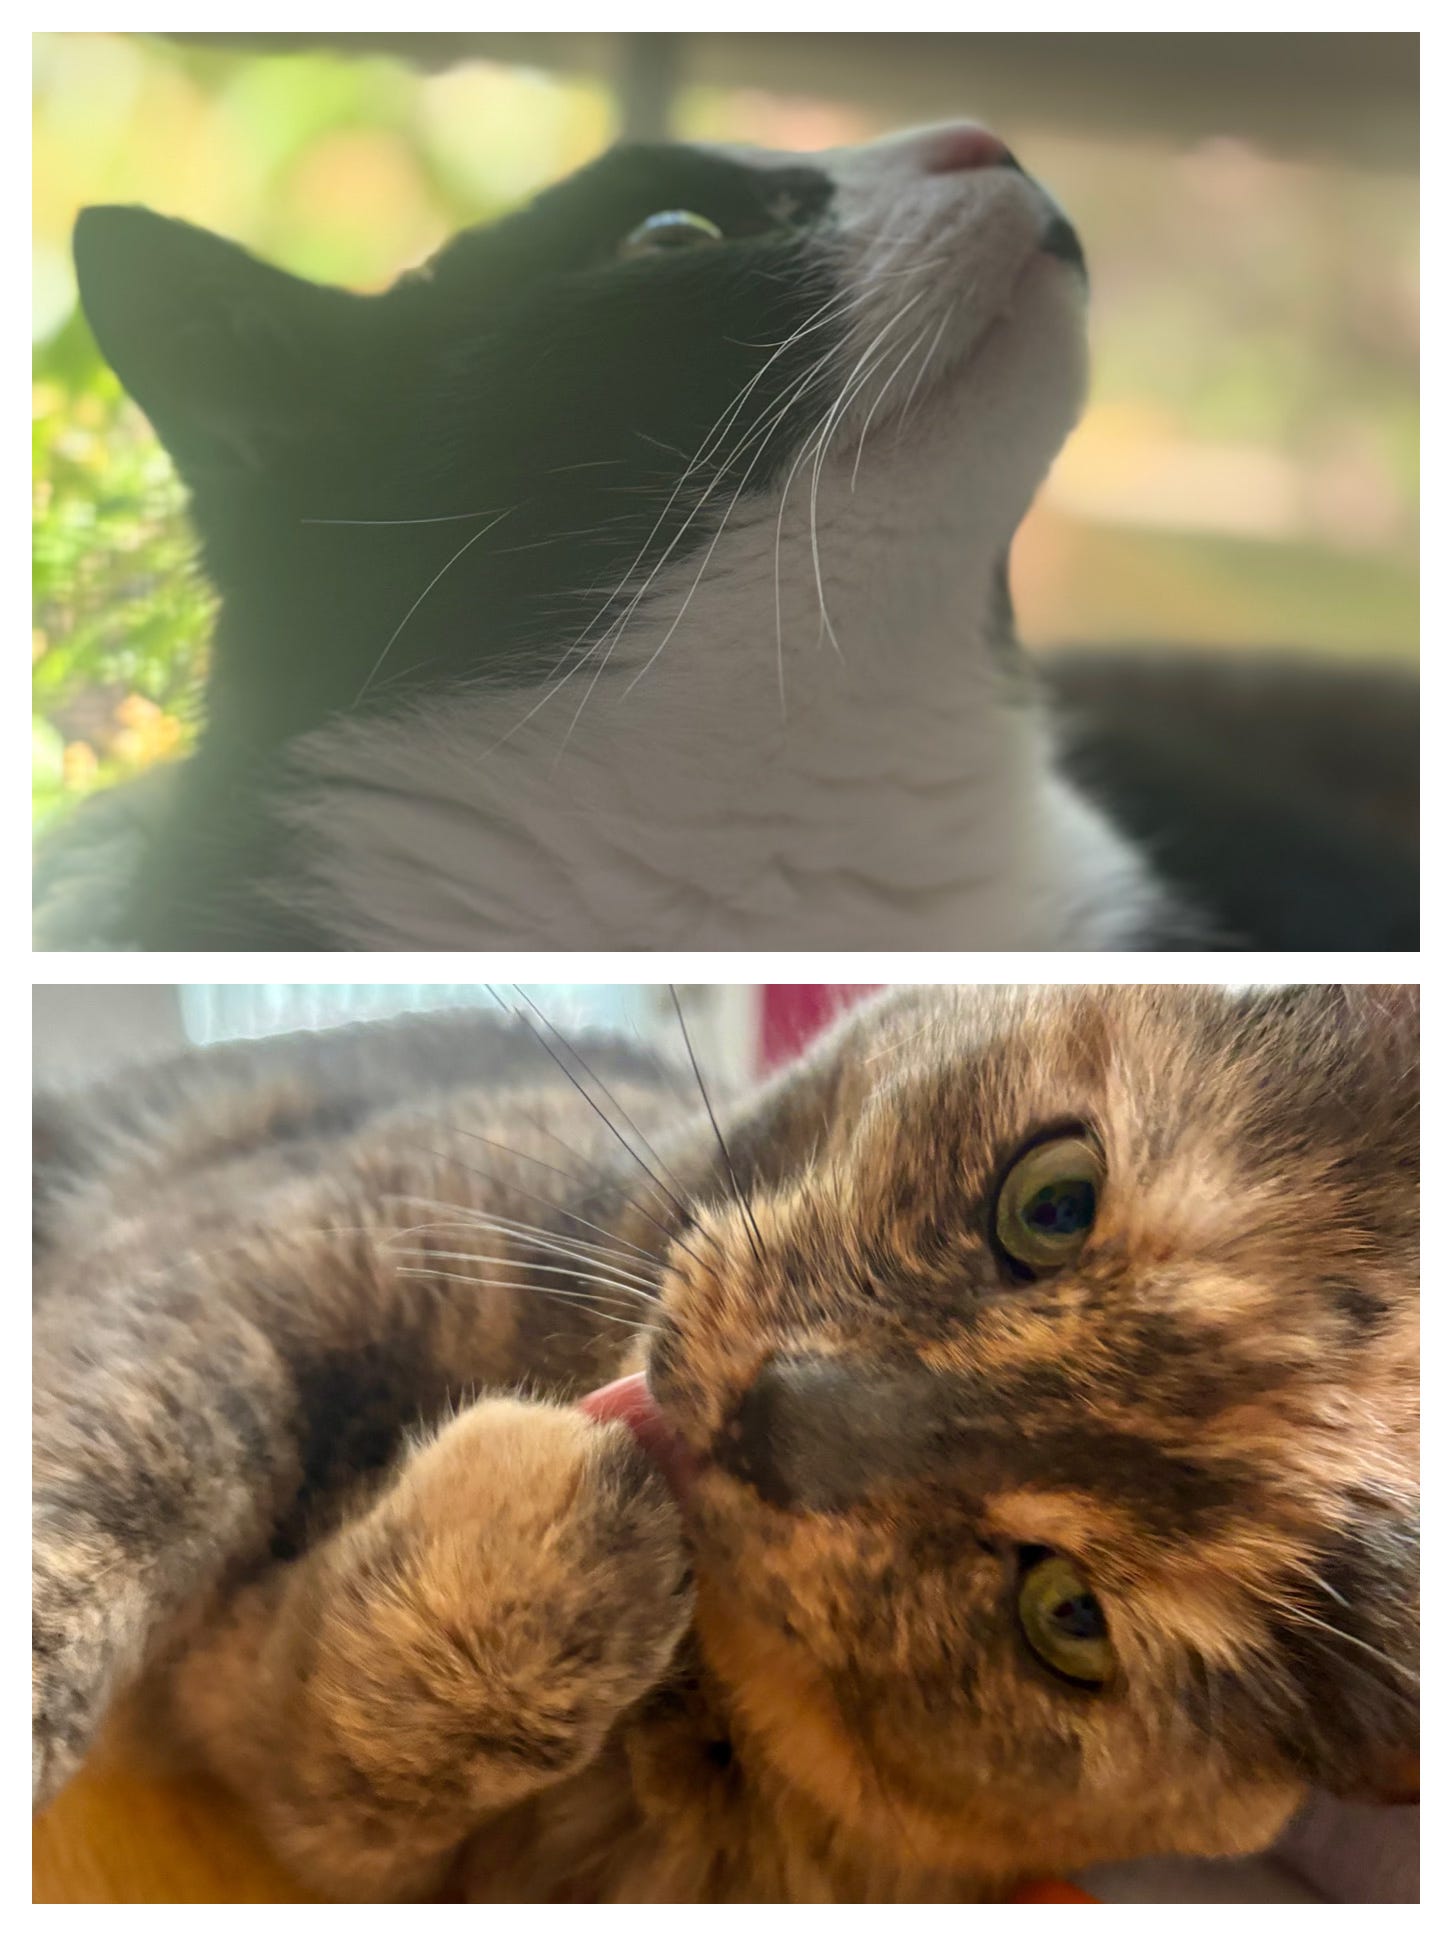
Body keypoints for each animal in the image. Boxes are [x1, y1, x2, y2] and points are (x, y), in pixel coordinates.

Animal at [31, 991, 1424, 1897]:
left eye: (1068, 1617)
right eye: (1053, 1201)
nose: (788, 1416)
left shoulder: (309, 1785)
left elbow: (352, 1750)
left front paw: (549, 1559)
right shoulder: (276, 1246)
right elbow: (140, 1445)